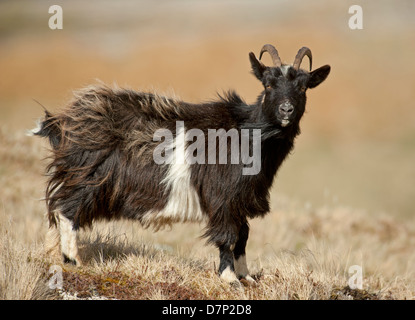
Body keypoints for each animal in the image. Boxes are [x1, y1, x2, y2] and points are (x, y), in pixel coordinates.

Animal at [31, 43, 332, 284]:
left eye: (303, 87)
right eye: (268, 84)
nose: (286, 110)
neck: (249, 133)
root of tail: (64, 120)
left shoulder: (240, 199)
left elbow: (244, 235)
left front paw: (246, 276)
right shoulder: (223, 198)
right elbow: (228, 236)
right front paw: (229, 278)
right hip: (88, 178)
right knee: (66, 210)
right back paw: (73, 259)